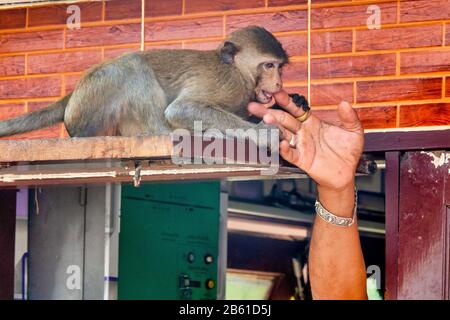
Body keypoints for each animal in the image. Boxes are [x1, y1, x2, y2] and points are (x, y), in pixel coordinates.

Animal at [0, 26, 288, 146]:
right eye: (268, 66)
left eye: (280, 67)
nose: (278, 82)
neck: (240, 72)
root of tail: (73, 94)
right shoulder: (229, 85)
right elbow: (182, 109)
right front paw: (264, 133)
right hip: (91, 103)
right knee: (133, 66)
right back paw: (169, 132)